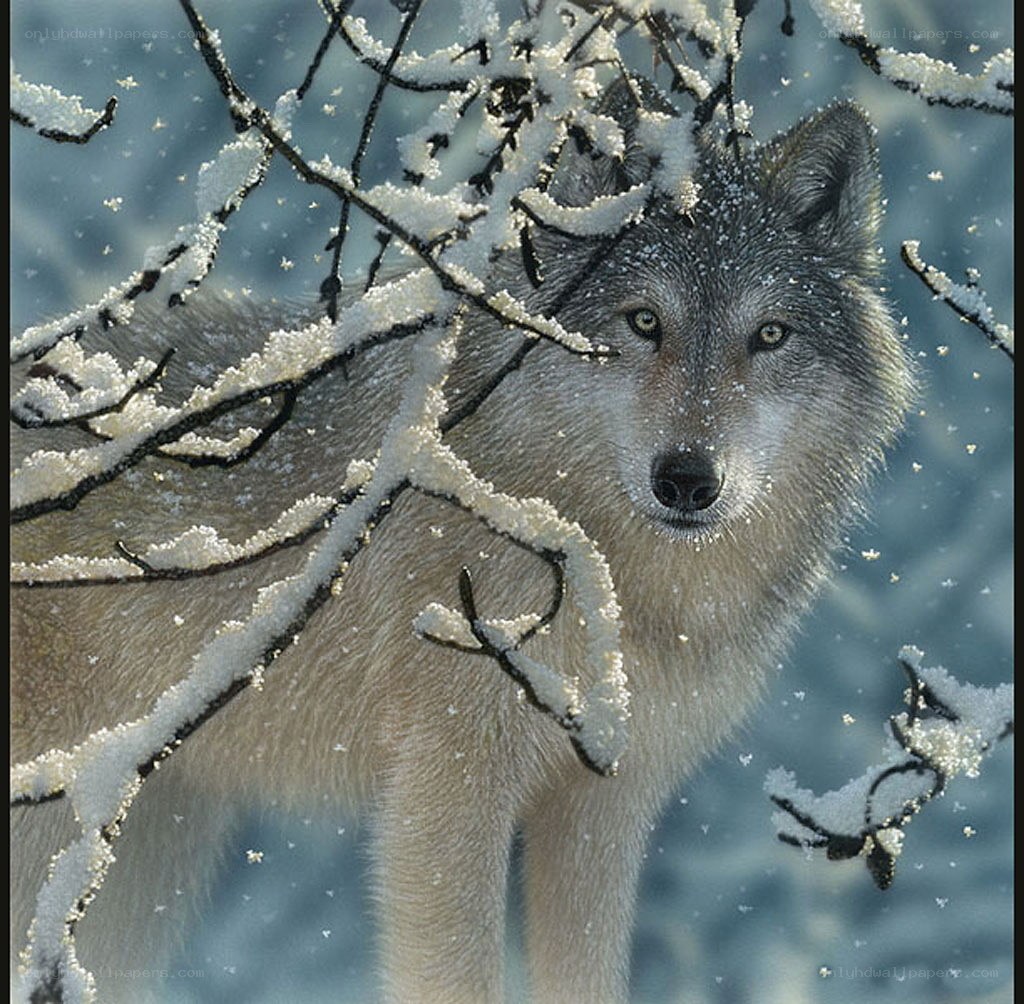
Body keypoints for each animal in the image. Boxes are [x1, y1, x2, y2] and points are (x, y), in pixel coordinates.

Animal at [11, 85, 913, 1003]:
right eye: (644, 321)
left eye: (769, 336)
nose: (689, 480)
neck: (613, 579)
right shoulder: (447, 789)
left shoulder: (603, 808)